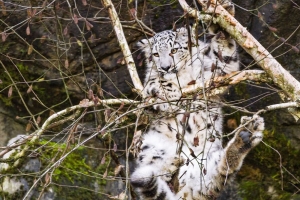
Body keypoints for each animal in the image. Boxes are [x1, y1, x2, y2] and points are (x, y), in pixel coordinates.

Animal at [131, 1, 264, 200]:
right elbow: (153, 85)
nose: (165, 67)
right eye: (155, 55)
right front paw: (164, 90)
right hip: (148, 144)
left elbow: (225, 55)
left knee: (220, 173)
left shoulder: (216, 72)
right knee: (154, 164)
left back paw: (244, 137)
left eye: (174, 50)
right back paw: (172, 163)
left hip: (209, 160)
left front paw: (220, 22)